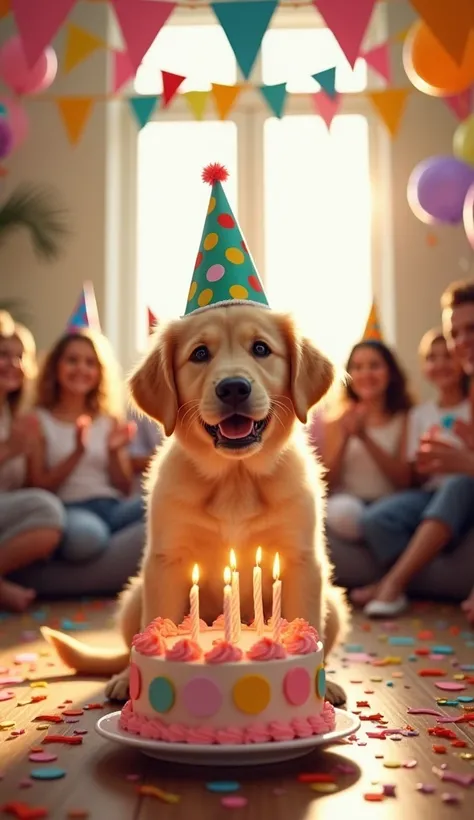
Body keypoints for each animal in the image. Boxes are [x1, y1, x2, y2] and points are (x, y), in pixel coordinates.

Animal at [43, 308, 348, 704]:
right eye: (200, 354)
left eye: (261, 348)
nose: (233, 388)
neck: (235, 478)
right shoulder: (166, 561)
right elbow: (157, 619)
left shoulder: (301, 560)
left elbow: (306, 618)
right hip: (133, 597)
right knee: (130, 647)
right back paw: (125, 677)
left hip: (334, 604)